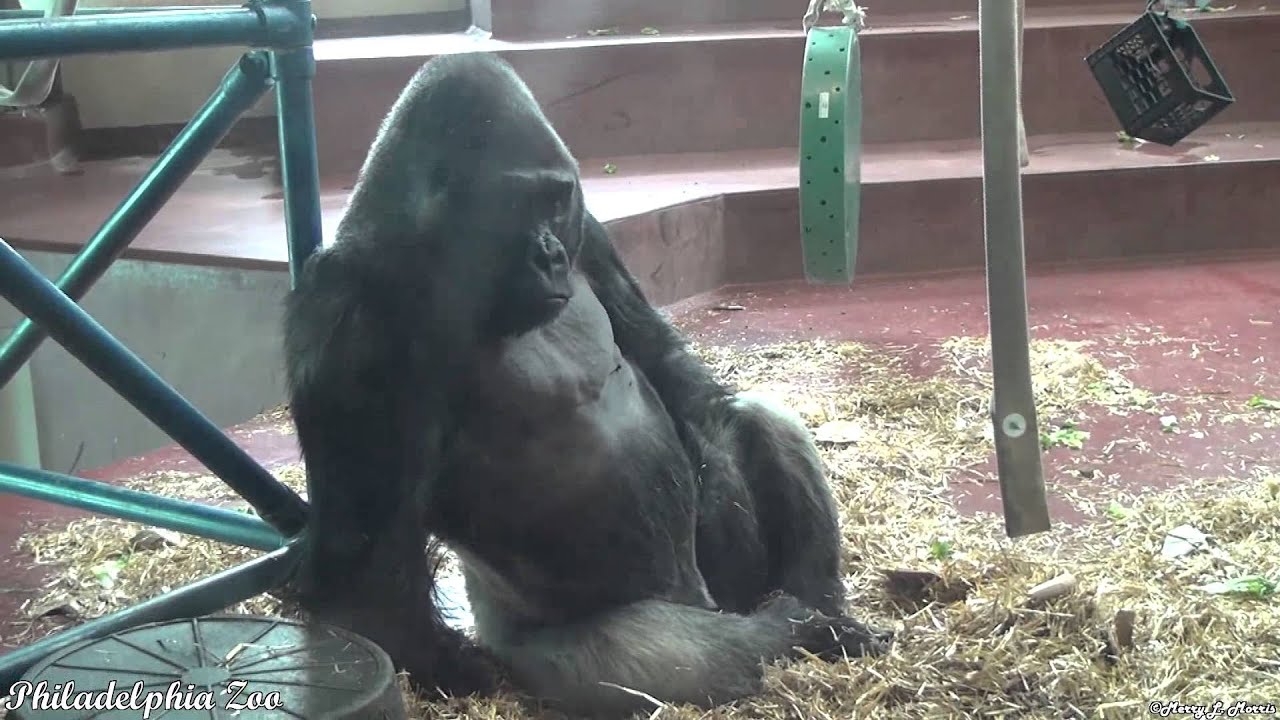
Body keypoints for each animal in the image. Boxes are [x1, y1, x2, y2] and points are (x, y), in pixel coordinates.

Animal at [282, 51, 893, 718]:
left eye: (555, 201)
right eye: (519, 204)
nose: (550, 256)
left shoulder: (591, 234)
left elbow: (670, 369)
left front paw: (730, 515)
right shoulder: (350, 311)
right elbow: (364, 567)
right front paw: (453, 669)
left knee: (754, 416)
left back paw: (821, 603)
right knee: (651, 653)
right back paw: (795, 628)